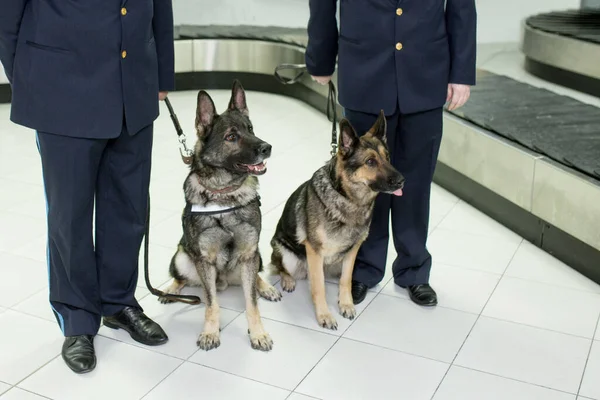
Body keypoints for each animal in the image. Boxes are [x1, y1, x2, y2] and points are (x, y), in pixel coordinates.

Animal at [159, 80, 282, 350]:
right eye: (231, 137)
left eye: (250, 129)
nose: (267, 147)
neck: (225, 195)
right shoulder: (204, 260)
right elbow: (211, 302)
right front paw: (210, 331)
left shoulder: (248, 253)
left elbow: (251, 302)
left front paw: (258, 333)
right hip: (182, 256)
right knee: (182, 277)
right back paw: (171, 290)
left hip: (254, 257)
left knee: (255, 278)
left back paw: (266, 287)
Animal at [270, 111, 406, 330]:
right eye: (370, 162)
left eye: (387, 158)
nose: (402, 181)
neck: (348, 199)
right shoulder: (315, 250)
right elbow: (319, 287)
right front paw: (324, 315)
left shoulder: (352, 252)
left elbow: (346, 280)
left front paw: (346, 304)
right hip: (287, 255)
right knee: (279, 266)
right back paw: (288, 280)